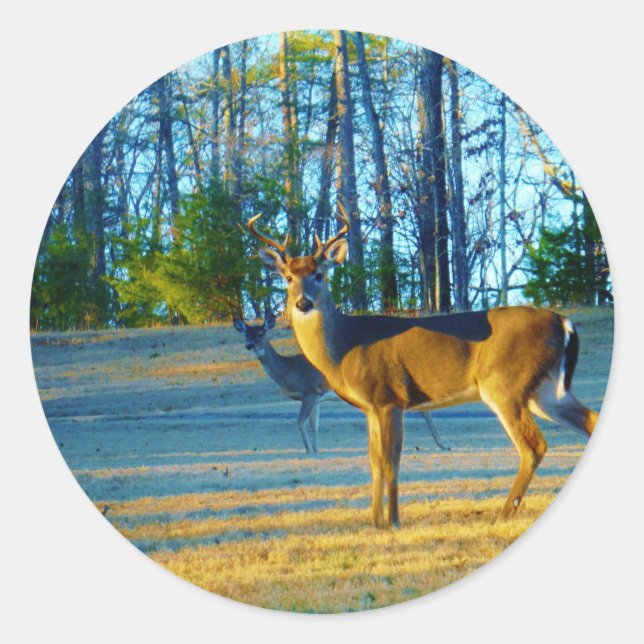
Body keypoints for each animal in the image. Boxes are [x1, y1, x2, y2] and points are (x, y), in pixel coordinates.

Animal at [233, 310, 450, 454]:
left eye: (260, 334)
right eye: (246, 334)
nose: (249, 345)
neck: (288, 371)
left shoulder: (309, 391)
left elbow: (300, 421)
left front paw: (309, 451)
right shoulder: (317, 397)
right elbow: (314, 424)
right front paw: (317, 450)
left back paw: (442, 444)